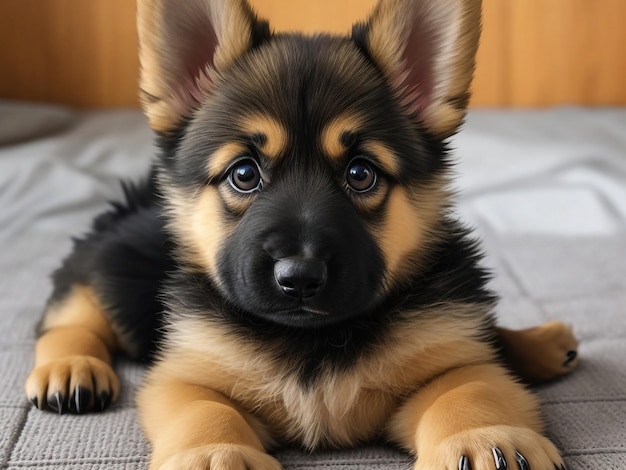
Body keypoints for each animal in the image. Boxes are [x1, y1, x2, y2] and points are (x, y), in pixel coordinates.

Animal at [26, 0, 576, 470]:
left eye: (361, 173)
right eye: (244, 174)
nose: (300, 277)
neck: (314, 339)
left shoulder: (453, 356)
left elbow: (469, 390)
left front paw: (484, 438)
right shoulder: (183, 374)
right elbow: (206, 411)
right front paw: (215, 453)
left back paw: (541, 344)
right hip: (102, 274)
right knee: (70, 316)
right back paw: (70, 367)